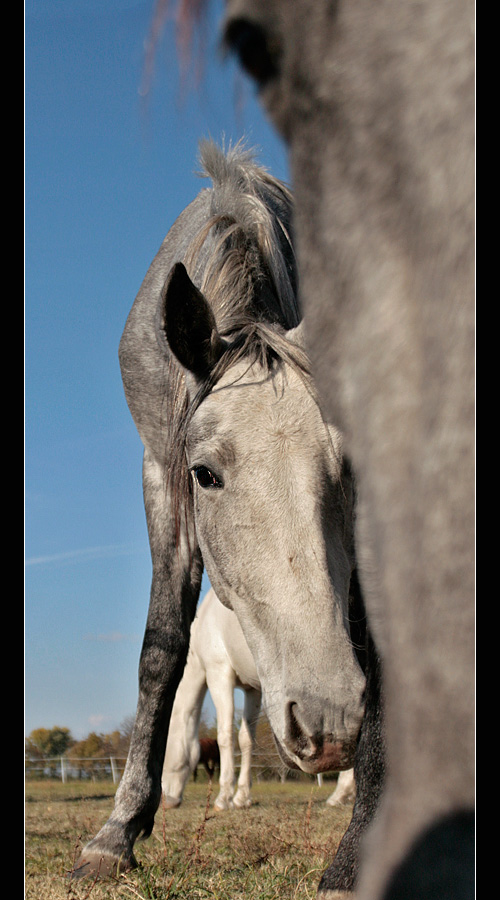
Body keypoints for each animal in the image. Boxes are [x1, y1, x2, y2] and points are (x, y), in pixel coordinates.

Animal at [161, 588, 356, 812]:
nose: (166, 801)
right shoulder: (252, 689)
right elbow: (246, 739)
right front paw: (242, 797)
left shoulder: (219, 674)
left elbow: (225, 735)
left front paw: (224, 797)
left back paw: (341, 793)